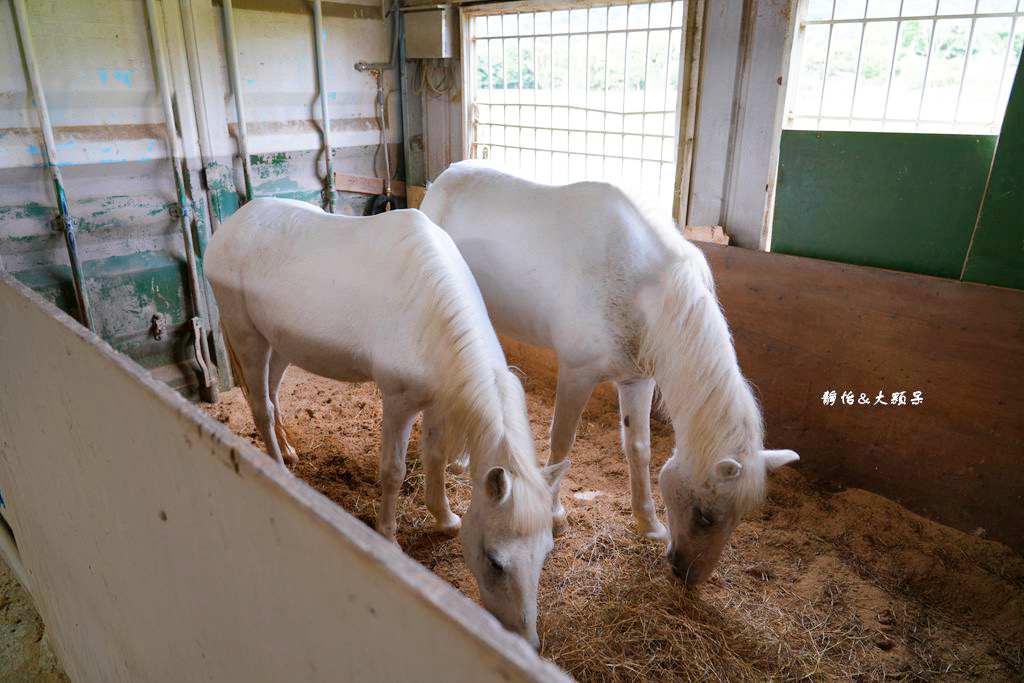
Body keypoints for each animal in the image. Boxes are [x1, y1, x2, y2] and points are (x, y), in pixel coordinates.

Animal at [202, 197, 565, 647]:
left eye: (546, 552)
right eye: (495, 561)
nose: (525, 641)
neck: (430, 307)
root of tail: (231, 226)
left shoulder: (438, 401)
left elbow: (436, 456)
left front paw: (444, 518)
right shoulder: (398, 404)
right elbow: (393, 470)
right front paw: (389, 538)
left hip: (279, 343)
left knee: (271, 393)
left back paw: (289, 450)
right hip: (249, 338)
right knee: (260, 408)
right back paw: (279, 466)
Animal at [421, 162, 798, 585]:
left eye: (738, 518)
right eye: (705, 515)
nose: (688, 576)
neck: (642, 289)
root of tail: (443, 178)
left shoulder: (637, 379)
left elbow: (639, 449)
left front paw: (648, 523)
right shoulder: (576, 374)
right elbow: (562, 443)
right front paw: (556, 516)